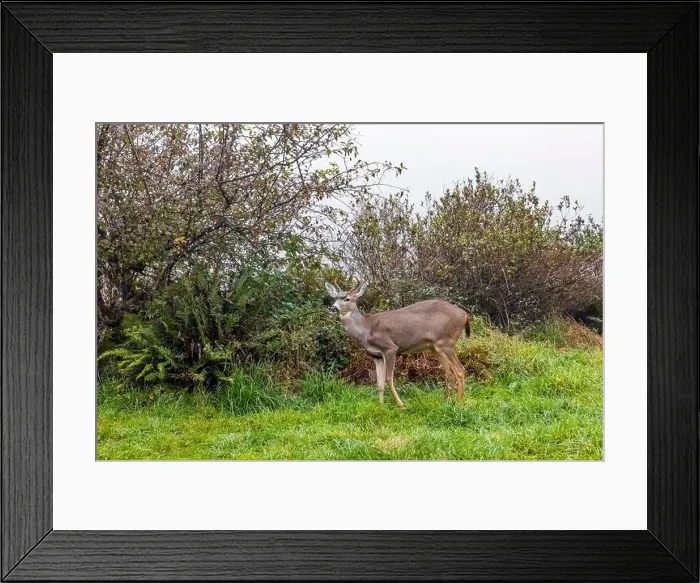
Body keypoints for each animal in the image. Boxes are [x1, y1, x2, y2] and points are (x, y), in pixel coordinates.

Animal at [325, 280, 470, 409]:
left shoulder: (390, 348)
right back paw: (445, 402)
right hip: (435, 347)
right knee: (450, 372)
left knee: (460, 370)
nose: (333, 307)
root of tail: (464, 315)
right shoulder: (376, 356)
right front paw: (381, 406)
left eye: (347, 299)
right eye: (335, 298)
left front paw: (401, 405)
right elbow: (379, 384)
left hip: (446, 342)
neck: (366, 330)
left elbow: (389, 378)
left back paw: (459, 404)